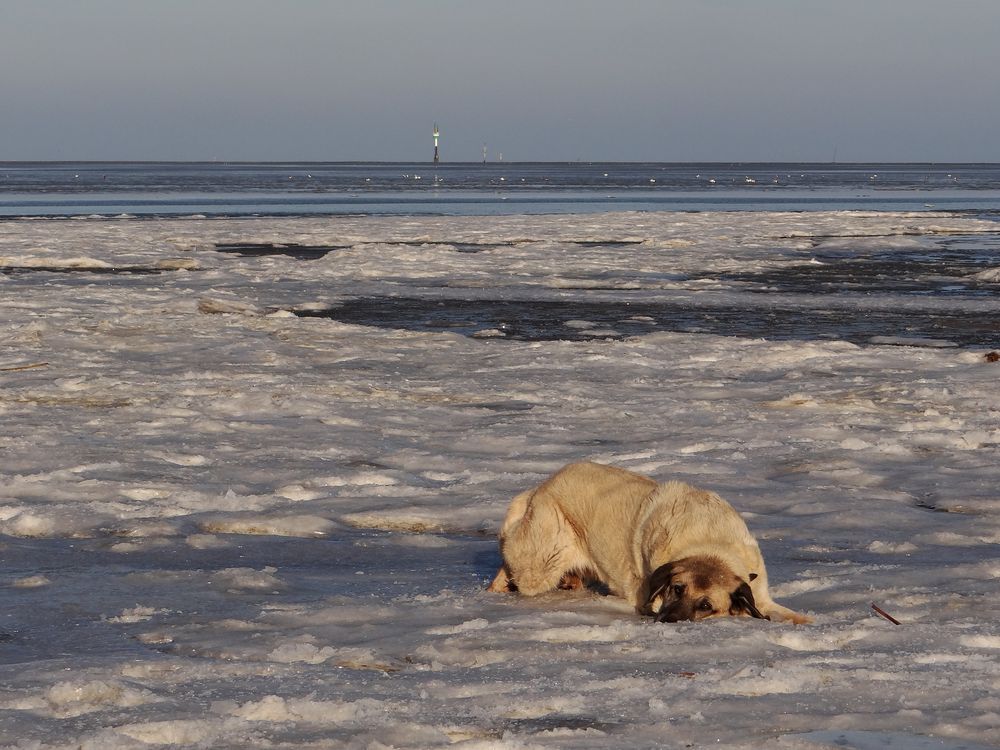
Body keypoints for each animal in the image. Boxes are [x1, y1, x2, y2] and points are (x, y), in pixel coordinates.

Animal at [490, 462, 812, 624]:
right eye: (676, 588)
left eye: (706, 604)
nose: (667, 619)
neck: (710, 544)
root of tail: (542, 486)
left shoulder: (761, 594)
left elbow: (789, 615)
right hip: (541, 560)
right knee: (512, 553)